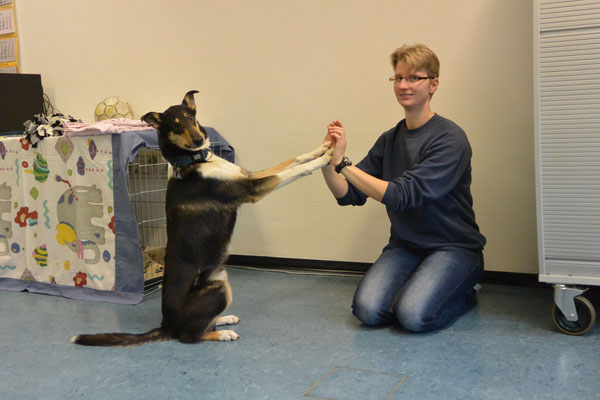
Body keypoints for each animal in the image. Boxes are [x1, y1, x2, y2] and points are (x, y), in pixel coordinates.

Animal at [71, 90, 332, 346]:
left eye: (191, 116)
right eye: (175, 126)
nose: (198, 140)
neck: (194, 161)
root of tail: (166, 325)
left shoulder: (248, 176)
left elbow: (293, 160)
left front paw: (325, 147)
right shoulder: (250, 189)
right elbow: (293, 171)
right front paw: (325, 160)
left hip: (221, 275)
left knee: (204, 324)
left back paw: (224, 319)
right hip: (219, 288)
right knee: (190, 336)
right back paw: (222, 333)